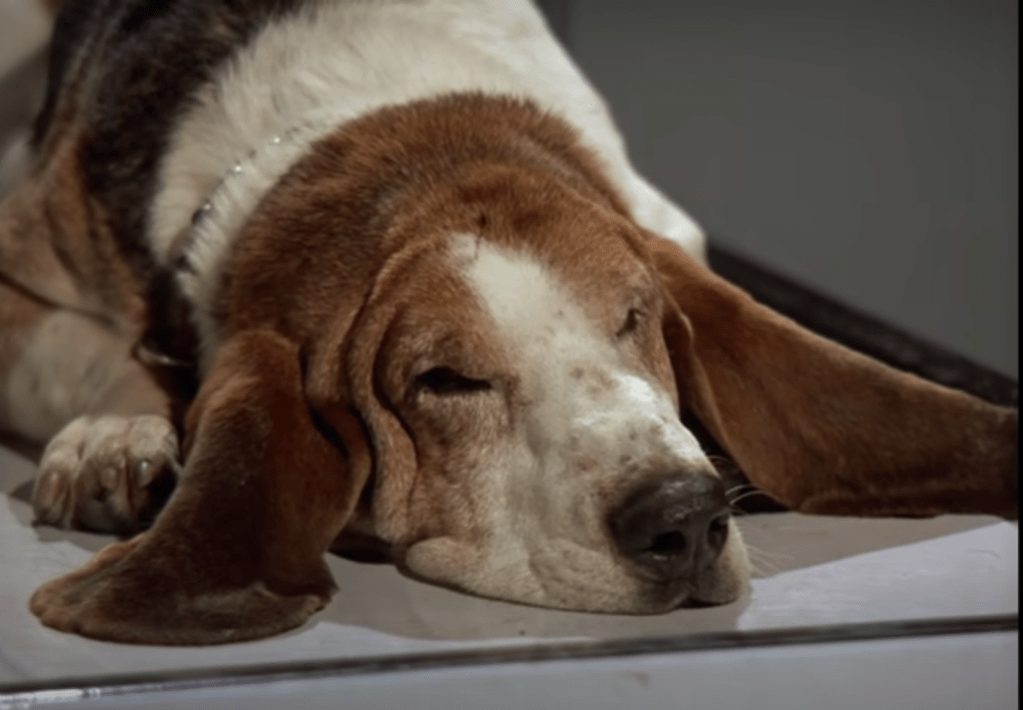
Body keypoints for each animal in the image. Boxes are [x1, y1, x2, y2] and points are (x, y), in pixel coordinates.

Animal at [0, 0, 1016, 645]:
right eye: (443, 381)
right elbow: (91, 348)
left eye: (634, 317)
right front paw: (114, 435)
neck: (370, 112)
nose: (685, 519)